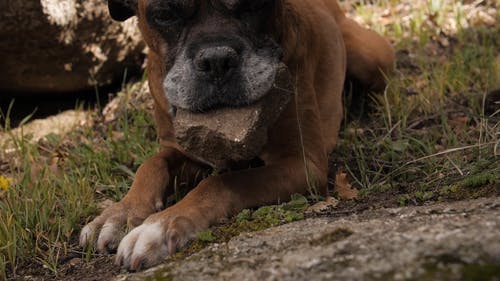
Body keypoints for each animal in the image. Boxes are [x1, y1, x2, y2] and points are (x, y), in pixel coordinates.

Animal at [81, 0, 394, 270]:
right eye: (165, 14)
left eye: (253, 3)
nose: (216, 59)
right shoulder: (182, 151)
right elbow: (151, 165)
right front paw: (121, 213)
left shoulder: (304, 165)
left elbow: (223, 182)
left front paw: (159, 226)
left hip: (370, 59)